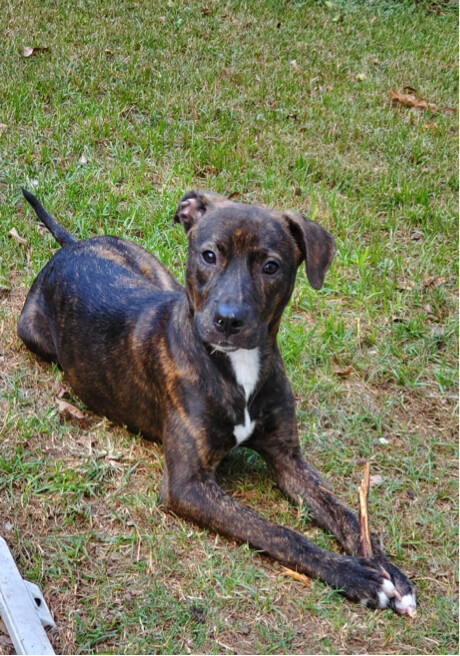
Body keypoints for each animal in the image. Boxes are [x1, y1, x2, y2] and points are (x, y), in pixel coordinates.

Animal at [18, 188, 416, 616]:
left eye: (271, 266)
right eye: (209, 255)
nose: (228, 319)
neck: (237, 366)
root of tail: (71, 247)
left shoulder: (288, 459)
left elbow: (344, 513)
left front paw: (389, 569)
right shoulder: (188, 485)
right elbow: (277, 532)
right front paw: (355, 575)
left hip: (156, 270)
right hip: (33, 336)